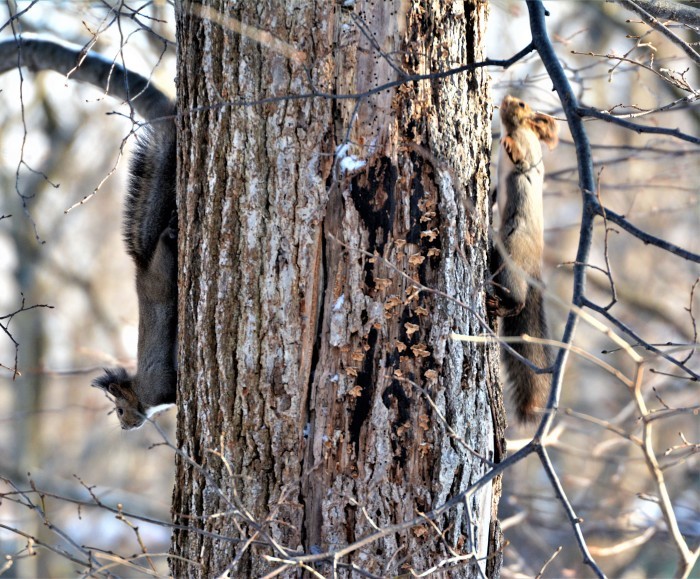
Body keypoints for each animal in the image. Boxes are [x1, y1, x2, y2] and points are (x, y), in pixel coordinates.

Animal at [0, 35, 179, 426]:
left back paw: (171, 233)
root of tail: (142, 267)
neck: (142, 392)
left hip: (164, 271)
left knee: (165, 247)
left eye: (121, 407)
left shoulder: (160, 387)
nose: (125, 426)